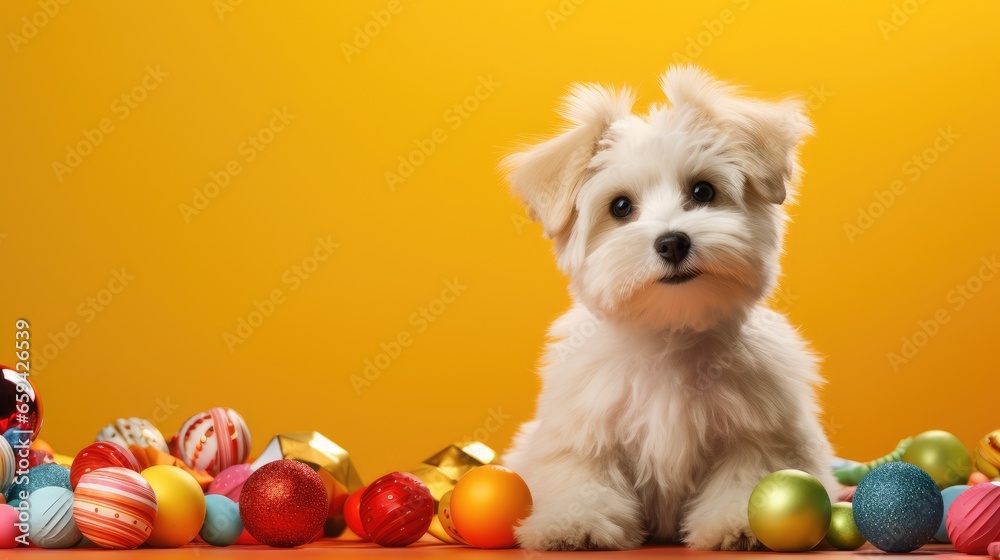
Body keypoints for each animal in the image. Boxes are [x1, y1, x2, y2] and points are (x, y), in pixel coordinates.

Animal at [500, 66, 836, 552]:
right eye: (620, 206)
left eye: (703, 190)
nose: (672, 242)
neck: (671, 329)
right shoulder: (584, 429)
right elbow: (582, 475)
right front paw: (575, 523)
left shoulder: (758, 431)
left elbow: (746, 473)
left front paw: (739, 522)